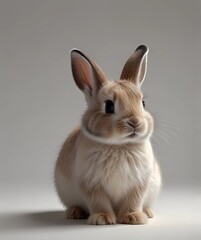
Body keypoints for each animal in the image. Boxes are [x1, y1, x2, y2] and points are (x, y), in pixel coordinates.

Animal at [54, 45, 162, 225]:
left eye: (143, 103)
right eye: (109, 106)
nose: (135, 122)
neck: (119, 145)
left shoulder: (139, 183)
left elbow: (133, 200)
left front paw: (134, 218)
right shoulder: (91, 184)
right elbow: (99, 202)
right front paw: (102, 219)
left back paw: (147, 212)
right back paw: (75, 212)